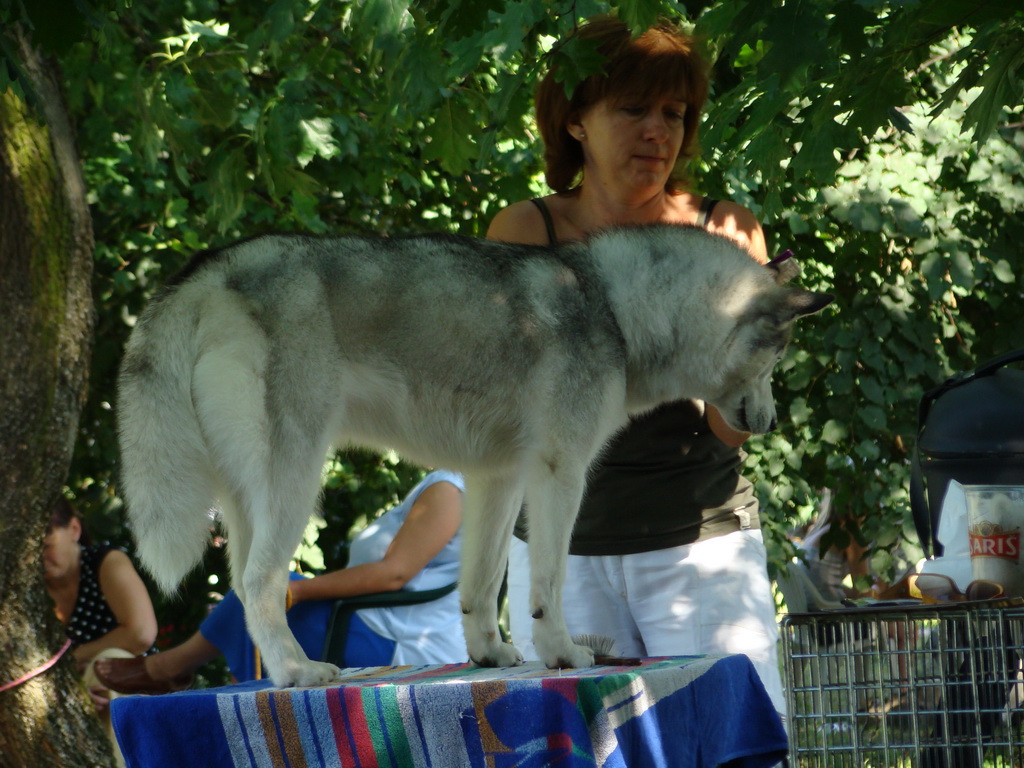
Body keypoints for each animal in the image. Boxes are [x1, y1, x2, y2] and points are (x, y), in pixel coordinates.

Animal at [117, 222, 831, 684]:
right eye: (777, 356)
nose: (768, 420)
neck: (612, 308)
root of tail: (209, 269)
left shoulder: (497, 478)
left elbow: (481, 586)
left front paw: (489, 655)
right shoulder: (560, 473)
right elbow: (547, 584)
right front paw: (563, 653)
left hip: (248, 501)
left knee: (241, 587)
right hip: (296, 484)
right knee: (263, 583)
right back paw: (300, 671)